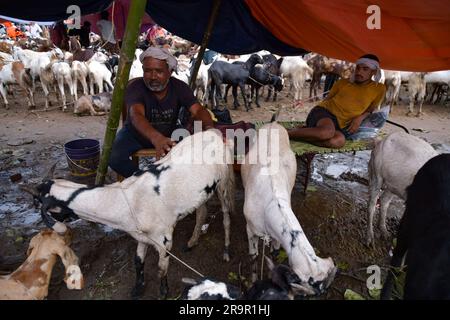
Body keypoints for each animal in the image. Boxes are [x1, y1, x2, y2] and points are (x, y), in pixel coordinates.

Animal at [20, 131, 236, 300]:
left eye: (37, 203)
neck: (127, 200)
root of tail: (214, 133)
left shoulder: (164, 240)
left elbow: (161, 268)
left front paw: (163, 292)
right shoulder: (141, 236)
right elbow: (138, 262)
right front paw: (137, 289)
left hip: (224, 182)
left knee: (226, 215)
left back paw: (226, 250)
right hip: (201, 193)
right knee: (202, 211)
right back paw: (192, 242)